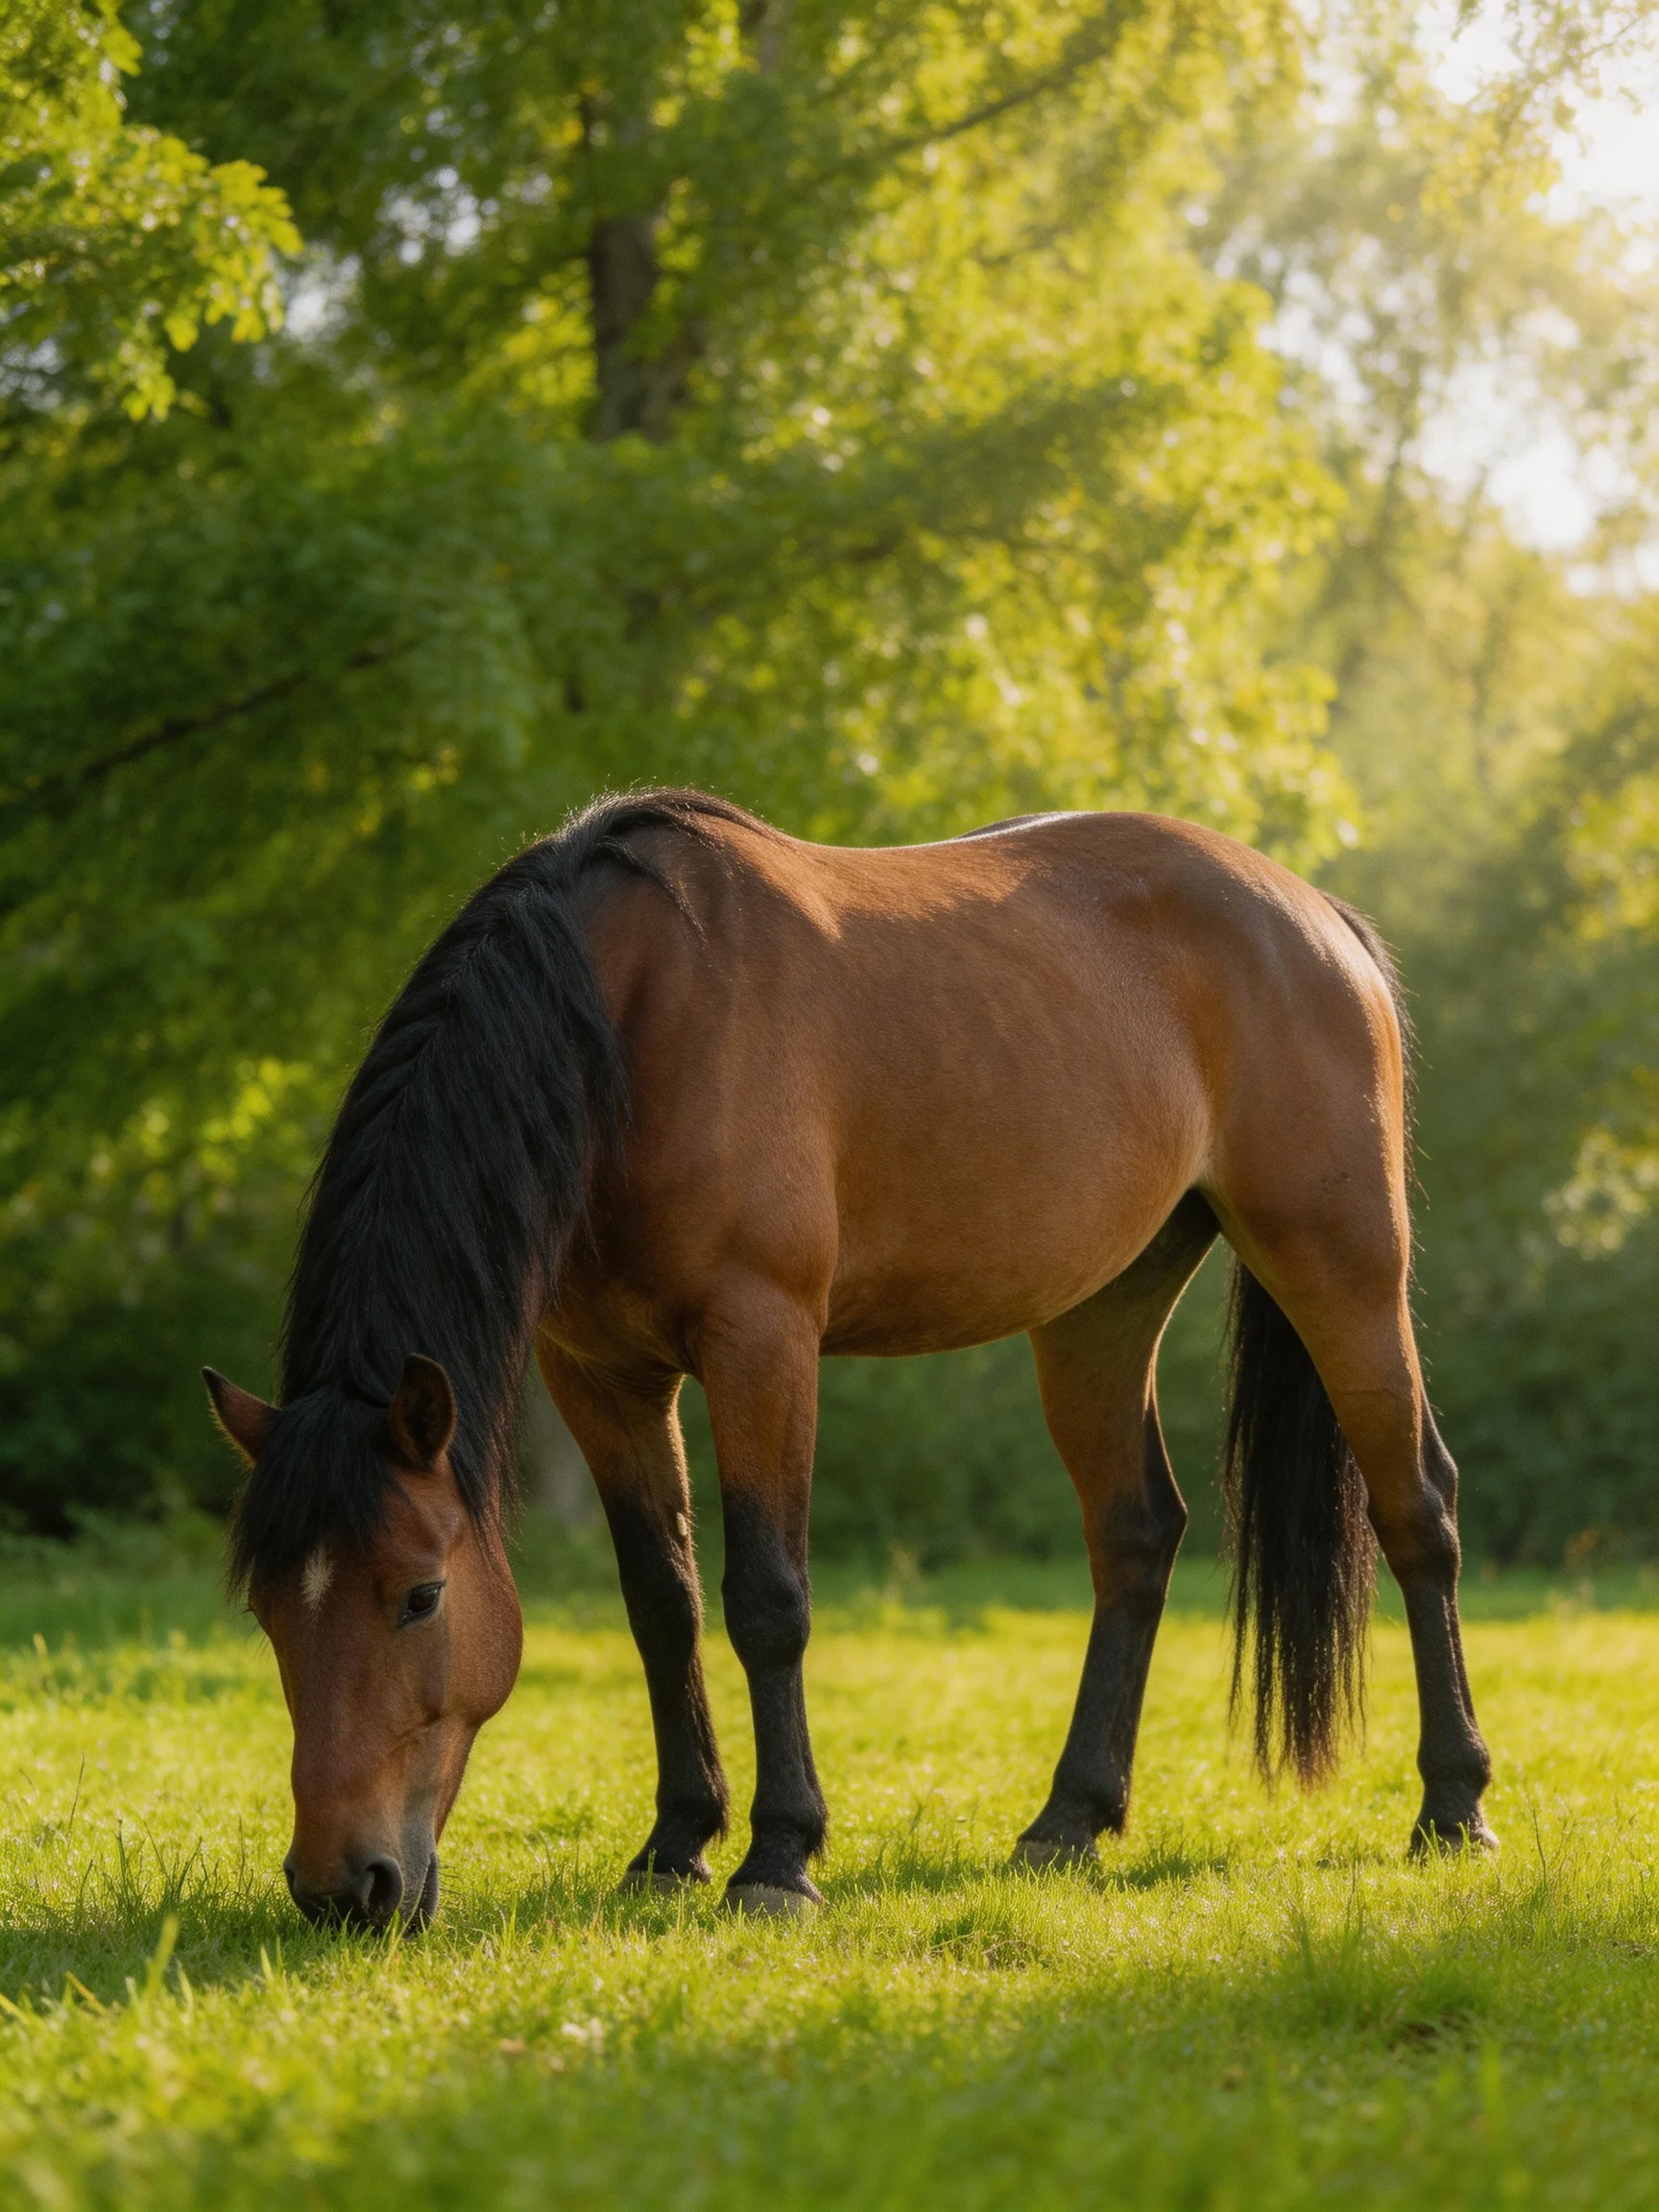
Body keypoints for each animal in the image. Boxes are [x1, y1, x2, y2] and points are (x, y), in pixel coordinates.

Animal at [204, 789, 1493, 1928]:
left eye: (420, 1596)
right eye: (265, 1605)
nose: (343, 1889)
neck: (632, 1016)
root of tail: (1321, 918)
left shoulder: (762, 1339)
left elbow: (766, 1599)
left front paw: (779, 1858)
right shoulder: (601, 1374)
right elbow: (661, 1601)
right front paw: (674, 1845)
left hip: (1341, 1266)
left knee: (1416, 1510)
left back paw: (1454, 1806)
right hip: (1099, 1309)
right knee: (1135, 1536)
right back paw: (1068, 1821)